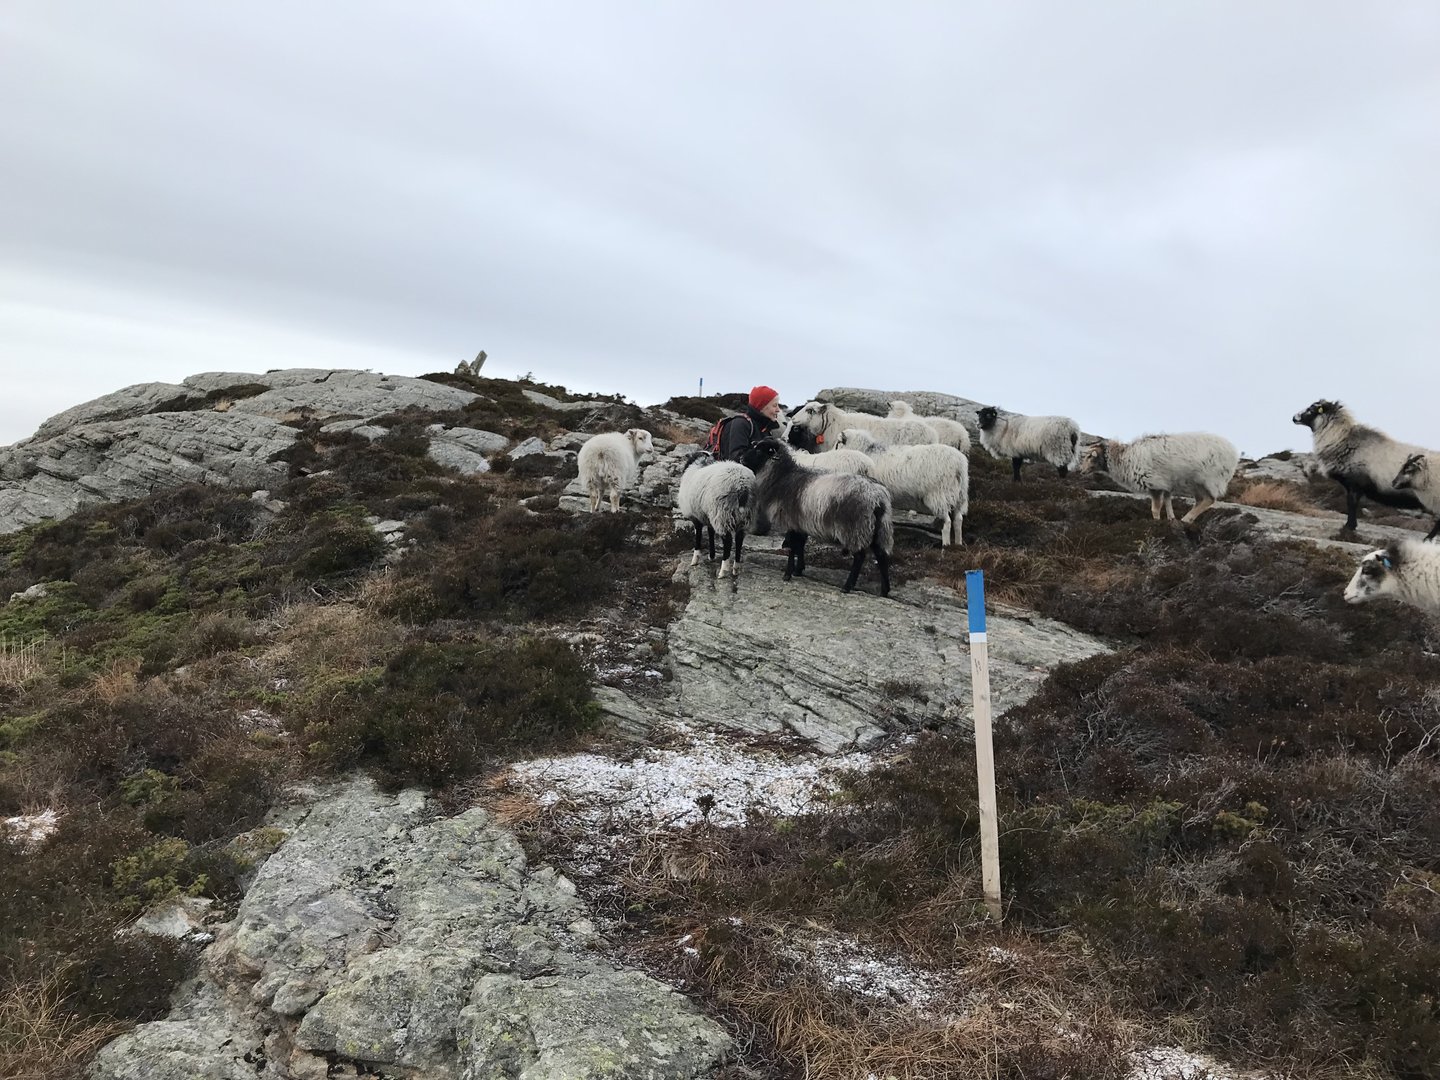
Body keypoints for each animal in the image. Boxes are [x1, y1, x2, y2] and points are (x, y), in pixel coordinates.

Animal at [740, 437, 894, 596]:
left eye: (759, 451)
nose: (741, 458)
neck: (782, 476)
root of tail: (877, 497)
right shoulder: (800, 522)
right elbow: (800, 546)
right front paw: (798, 570)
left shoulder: (791, 520)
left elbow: (792, 548)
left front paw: (787, 574)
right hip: (879, 527)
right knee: (882, 555)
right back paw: (884, 591)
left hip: (855, 527)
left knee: (859, 557)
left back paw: (847, 586)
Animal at [837, 428, 969, 546]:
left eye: (838, 443)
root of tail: (959, 464)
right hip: (959, 495)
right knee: (958, 520)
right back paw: (958, 544)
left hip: (940, 495)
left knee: (947, 522)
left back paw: (946, 545)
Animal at [1081, 432, 1239, 522]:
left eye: (1090, 456)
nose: (1081, 471)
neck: (1122, 459)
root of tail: (1233, 454)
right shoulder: (1166, 485)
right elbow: (1168, 502)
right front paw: (1171, 519)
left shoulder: (1154, 484)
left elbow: (1155, 509)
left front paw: (1156, 522)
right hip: (1197, 484)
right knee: (1201, 500)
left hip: (1209, 480)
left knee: (1209, 500)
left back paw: (1187, 519)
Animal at [1292, 400, 1427, 532]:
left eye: (1311, 409)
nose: (1294, 418)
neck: (1340, 439)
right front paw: (1350, 526)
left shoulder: (1355, 482)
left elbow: (1351, 504)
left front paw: (1348, 527)